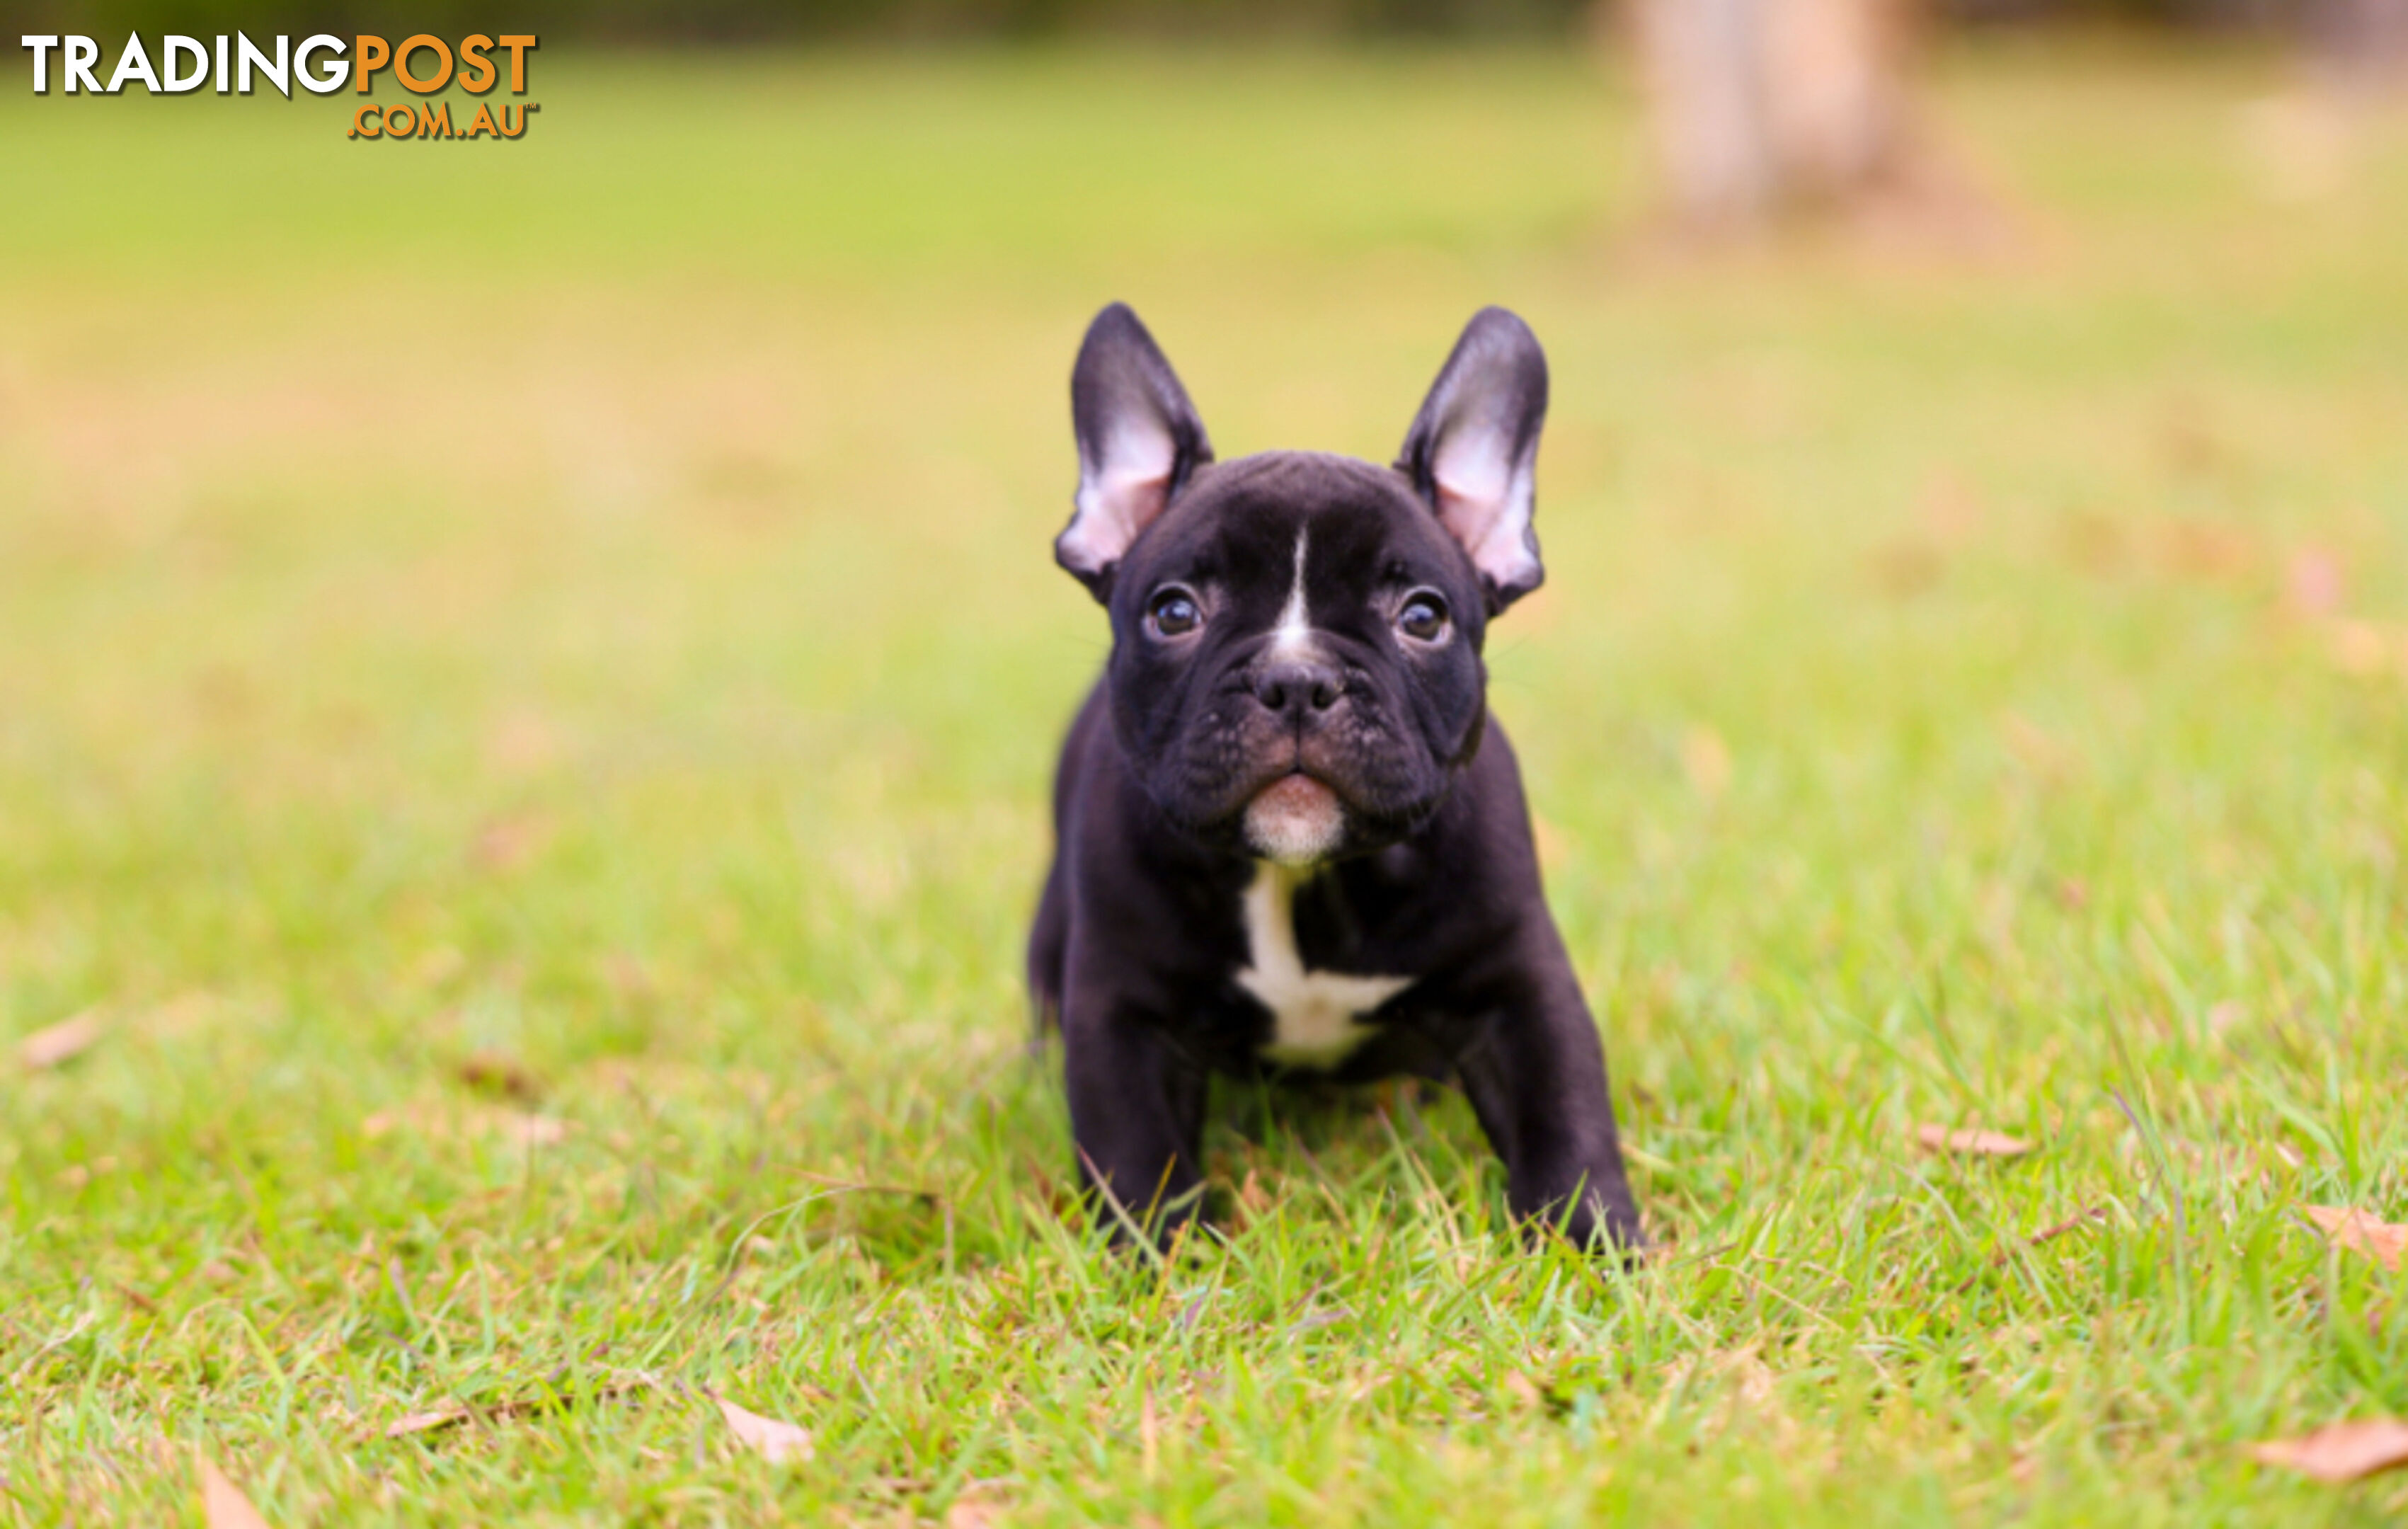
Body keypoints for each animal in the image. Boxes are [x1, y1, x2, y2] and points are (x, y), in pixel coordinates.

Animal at [1026, 302, 1646, 1252]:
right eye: (1174, 611)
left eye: (1422, 617)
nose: (1297, 680)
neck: (1304, 881)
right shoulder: (1120, 1008)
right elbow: (1137, 1154)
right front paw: (1162, 1262)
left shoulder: (1521, 980)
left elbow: (1565, 1117)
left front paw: (1594, 1246)